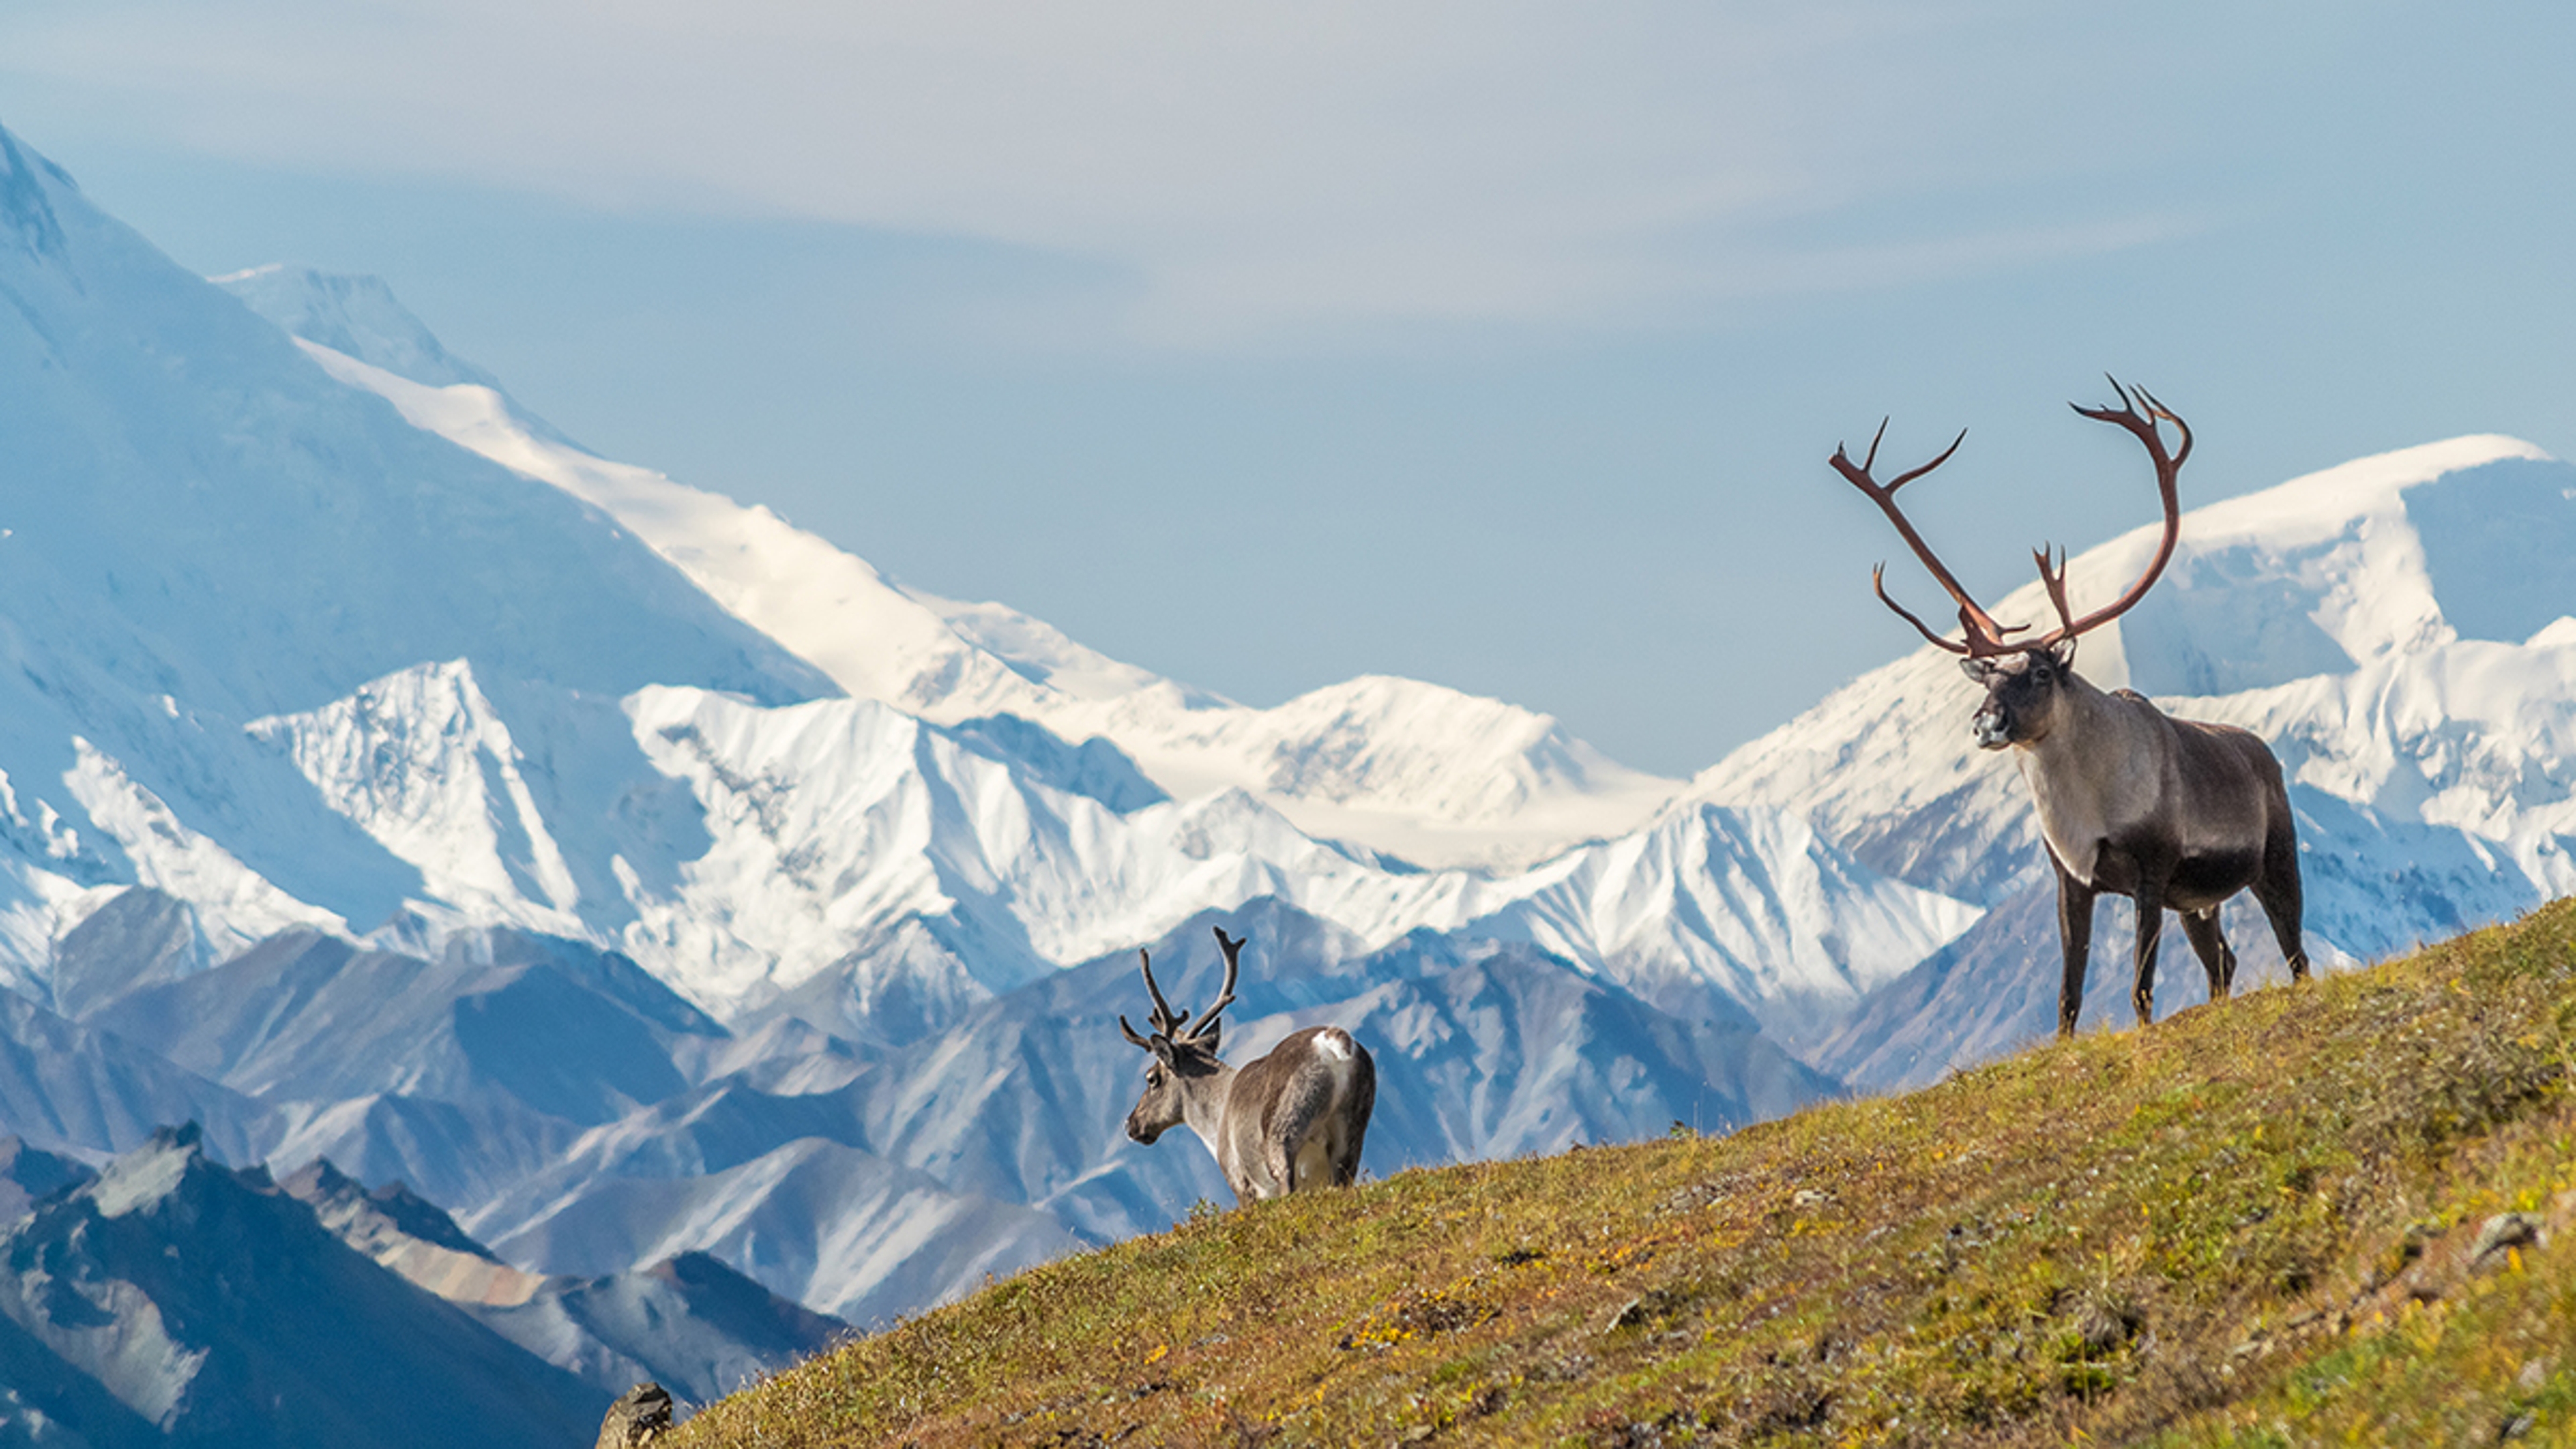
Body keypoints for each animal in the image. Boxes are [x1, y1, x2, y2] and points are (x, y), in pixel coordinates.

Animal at [1118, 918, 1381, 1201]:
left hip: (1283, 1134)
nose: (1131, 1124)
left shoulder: (1240, 1182)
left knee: (1285, 1178)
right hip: (1351, 1134)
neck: (1215, 1120)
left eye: (1151, 1078)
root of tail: (1333, 1043)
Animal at [1834, 374, 2318, 1026]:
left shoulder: (2152, 872)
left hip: (2274, 859)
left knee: (2295, 953)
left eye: (2040, 672)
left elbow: (2141, 988)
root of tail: (2263, 752)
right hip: (2198, 900)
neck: (2085, 809)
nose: (1985, 724)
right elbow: (2069, 995)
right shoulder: (2072, 881)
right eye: (1987, 679)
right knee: (2223, 961)